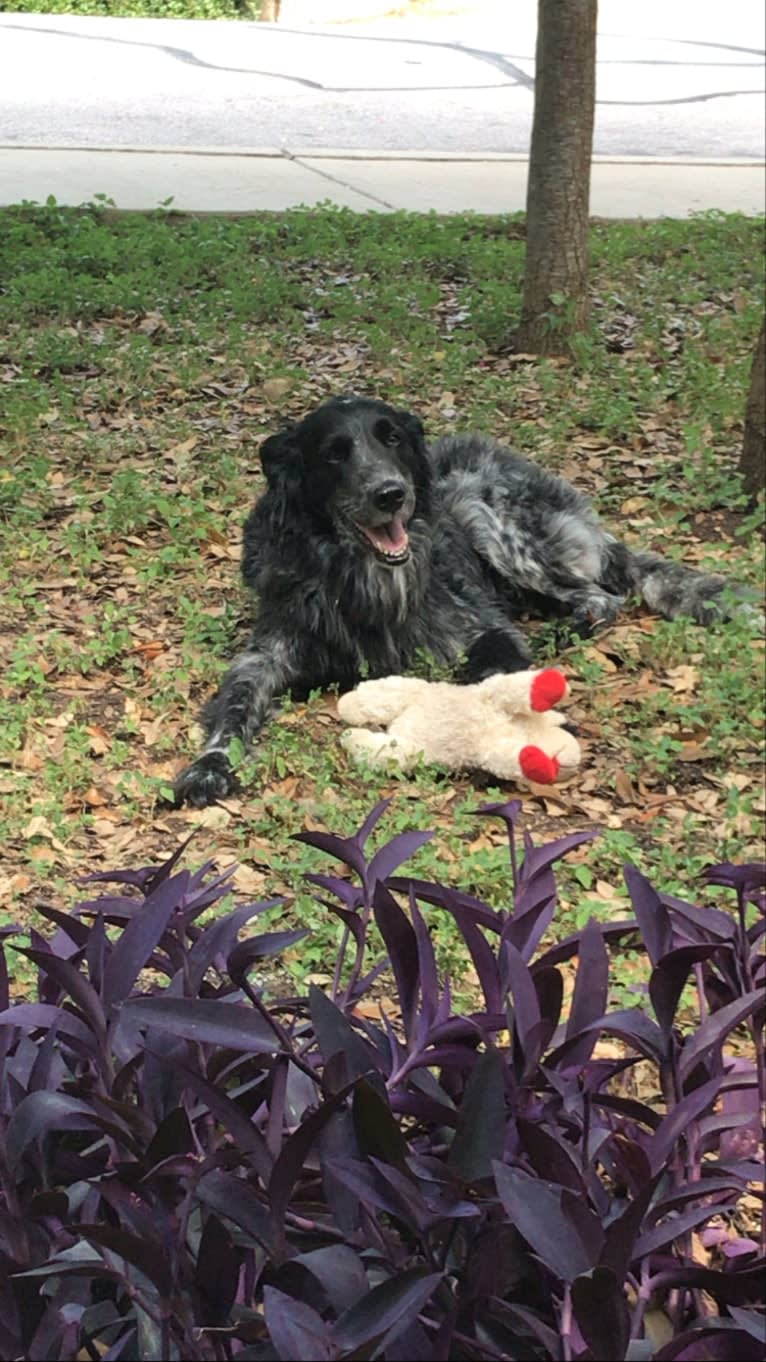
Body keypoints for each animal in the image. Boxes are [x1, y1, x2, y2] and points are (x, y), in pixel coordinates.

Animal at [171, 392, 746, 806]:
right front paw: (208, 767)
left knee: (601, 595)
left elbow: (486, 672)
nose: (392, 494)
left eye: (393, 439)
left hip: (485, 513)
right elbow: (234, 708)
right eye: (335, 453)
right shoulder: (265, 654)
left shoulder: (482, 626)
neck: (361, 579)